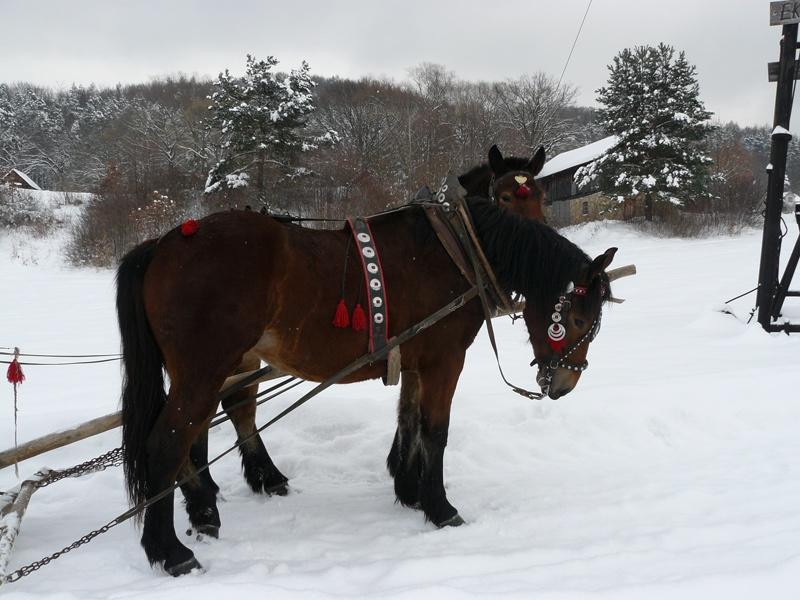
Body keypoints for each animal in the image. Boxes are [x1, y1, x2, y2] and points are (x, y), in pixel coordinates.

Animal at [115, 195, 616, 576]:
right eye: (577, 319)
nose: (565, 383)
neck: (458, 253)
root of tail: (162, 244)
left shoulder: (414, 361)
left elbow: (409, 421)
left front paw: (410, 491)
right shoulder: (445, 360)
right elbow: (435, 432)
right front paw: (440, 507)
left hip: (214, 369)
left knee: (202, 430)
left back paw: (208, 509)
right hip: (205, 370)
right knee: (168, 443)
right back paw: (172, 550)